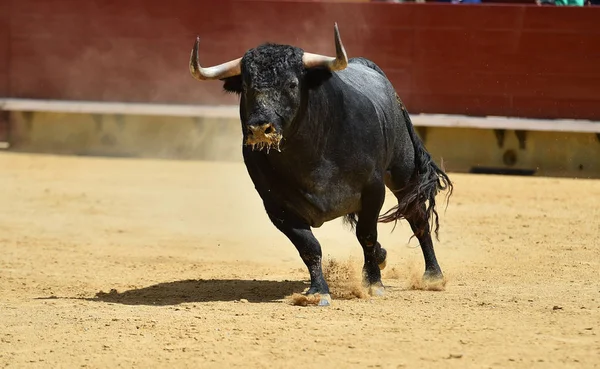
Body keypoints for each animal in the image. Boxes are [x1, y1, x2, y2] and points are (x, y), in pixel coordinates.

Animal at [190, 23, 452, 304]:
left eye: (292, 84)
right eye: (247, 86)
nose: (260, 128)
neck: (309, 156)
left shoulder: (373, 189)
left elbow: (367, 235)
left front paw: (373, 284)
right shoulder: (275, 206)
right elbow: (309, 246)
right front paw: (318, 291)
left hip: (403, 172)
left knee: (418, 217)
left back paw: (433, 276)